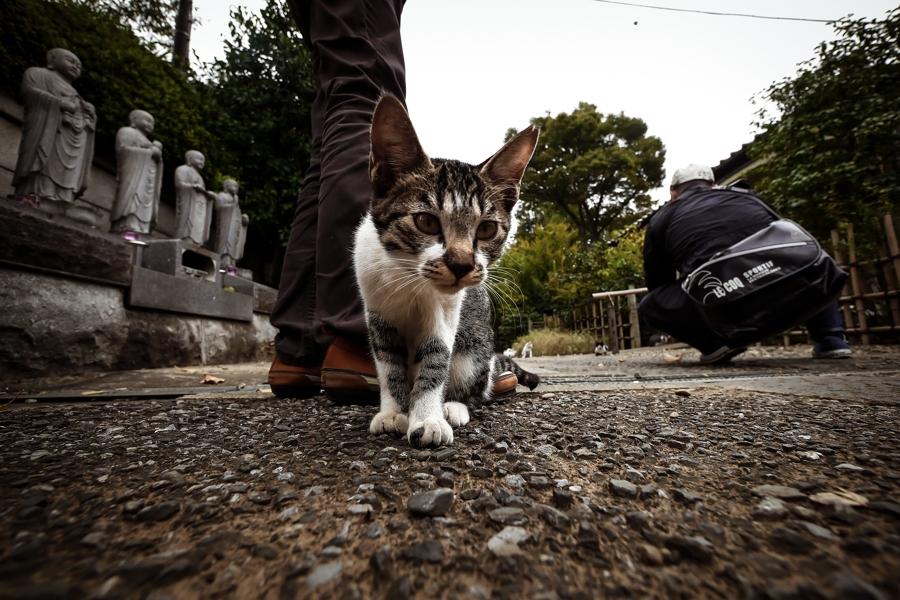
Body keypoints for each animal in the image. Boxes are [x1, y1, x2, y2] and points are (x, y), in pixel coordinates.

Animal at [356, 96, 540, 448]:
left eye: (486, 228)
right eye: (426, 221)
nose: (461, 263)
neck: (409, 278)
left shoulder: (446, 314)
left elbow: (435, 359)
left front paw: (428, 418)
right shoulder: (377, 310)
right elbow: (389, 364)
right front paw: (393, 413)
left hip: (474, 351)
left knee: (476, 388)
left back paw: (454, 406)